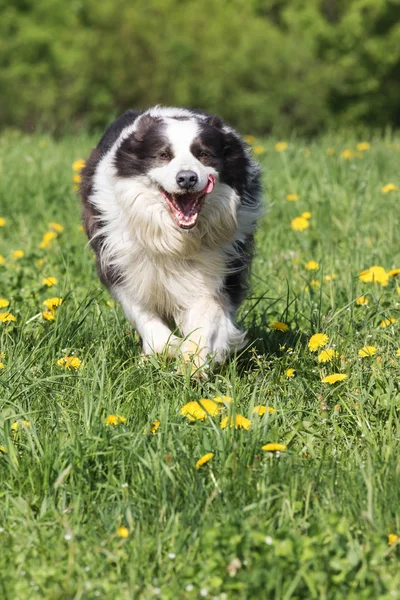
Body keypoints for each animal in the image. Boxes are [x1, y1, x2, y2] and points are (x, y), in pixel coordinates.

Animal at [80, 107, 262, 366]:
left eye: (204, 154)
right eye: (164, 155)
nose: (186, 178)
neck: (176, 238)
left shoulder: (221, 263)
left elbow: (208, 311)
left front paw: (194, 358)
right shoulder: (120, 261)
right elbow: (143, 315)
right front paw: (169, 348)